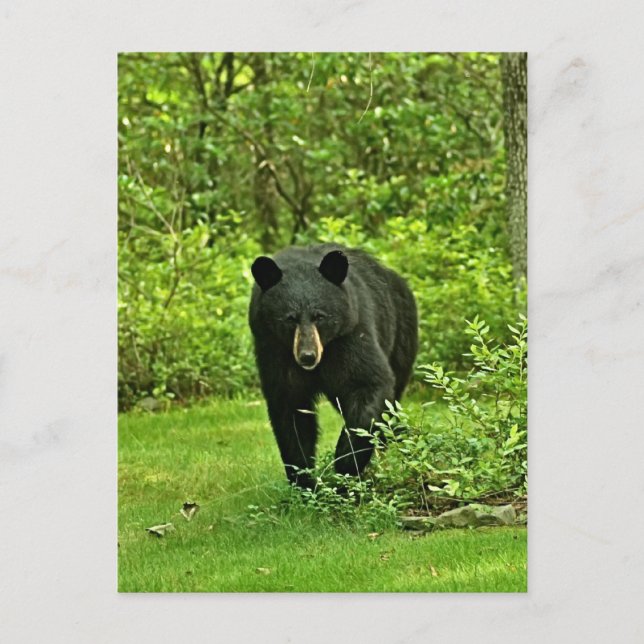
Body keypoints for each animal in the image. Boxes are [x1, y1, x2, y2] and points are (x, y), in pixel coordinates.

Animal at [248, 243, 418, 488]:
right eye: (290, 319)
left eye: (319, 316)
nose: (307, 356)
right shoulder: (274, 350)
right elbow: (289, 408)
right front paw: (304, 481)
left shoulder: (351, 335)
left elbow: (368, 384)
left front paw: (345, 464)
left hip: (401, 336)